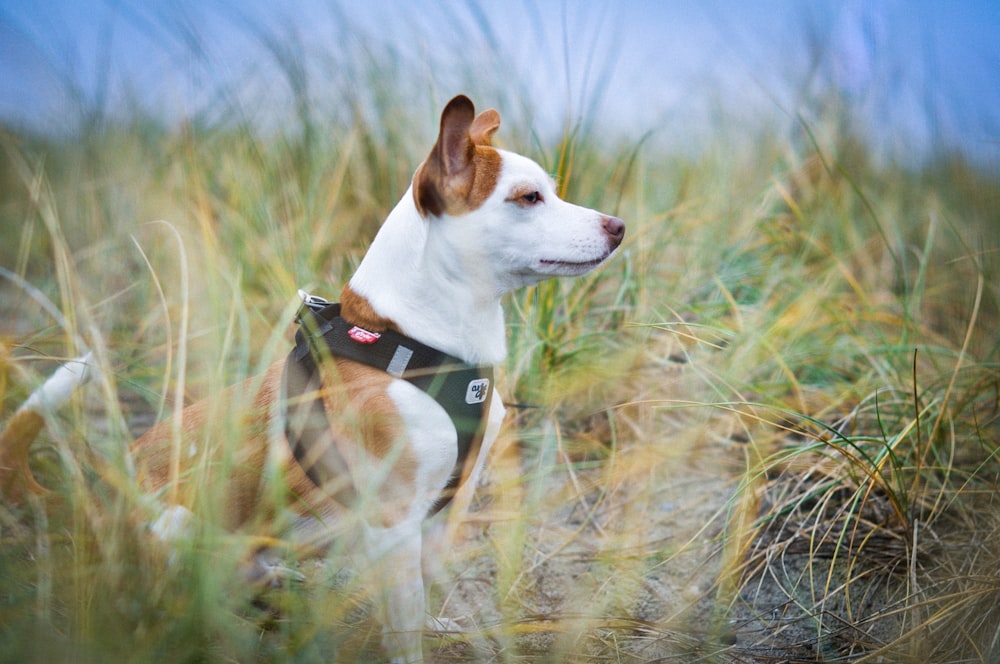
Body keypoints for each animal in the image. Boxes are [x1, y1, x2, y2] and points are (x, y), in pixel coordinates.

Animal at [1, 94, 624, 664]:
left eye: (550, 189)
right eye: (528, 198)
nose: (618, 227)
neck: (416, 344)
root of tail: (92, 496)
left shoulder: (445, 509)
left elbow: (425, 592)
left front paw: (445, 628)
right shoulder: (393, 520)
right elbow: (403, 623)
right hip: (176, 526)